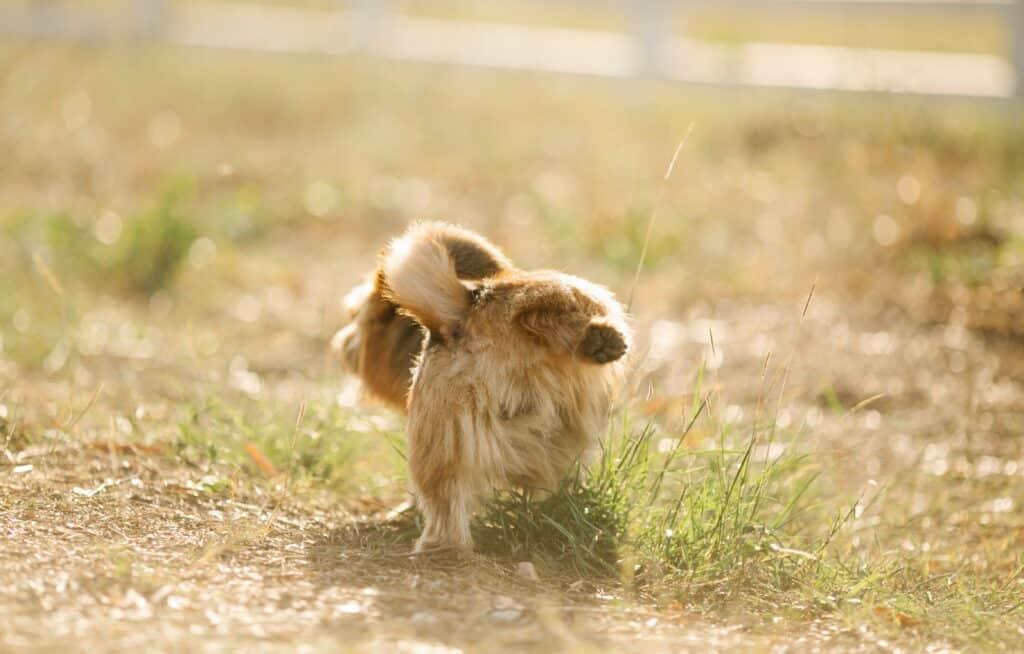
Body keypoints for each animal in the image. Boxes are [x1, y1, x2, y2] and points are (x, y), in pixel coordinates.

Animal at [335, 224, 626, 552]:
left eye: (355, 317)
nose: (342, 343)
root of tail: (469, 308)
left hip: (437, 443)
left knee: (445, 509)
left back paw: (438, 549)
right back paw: (598, 340)